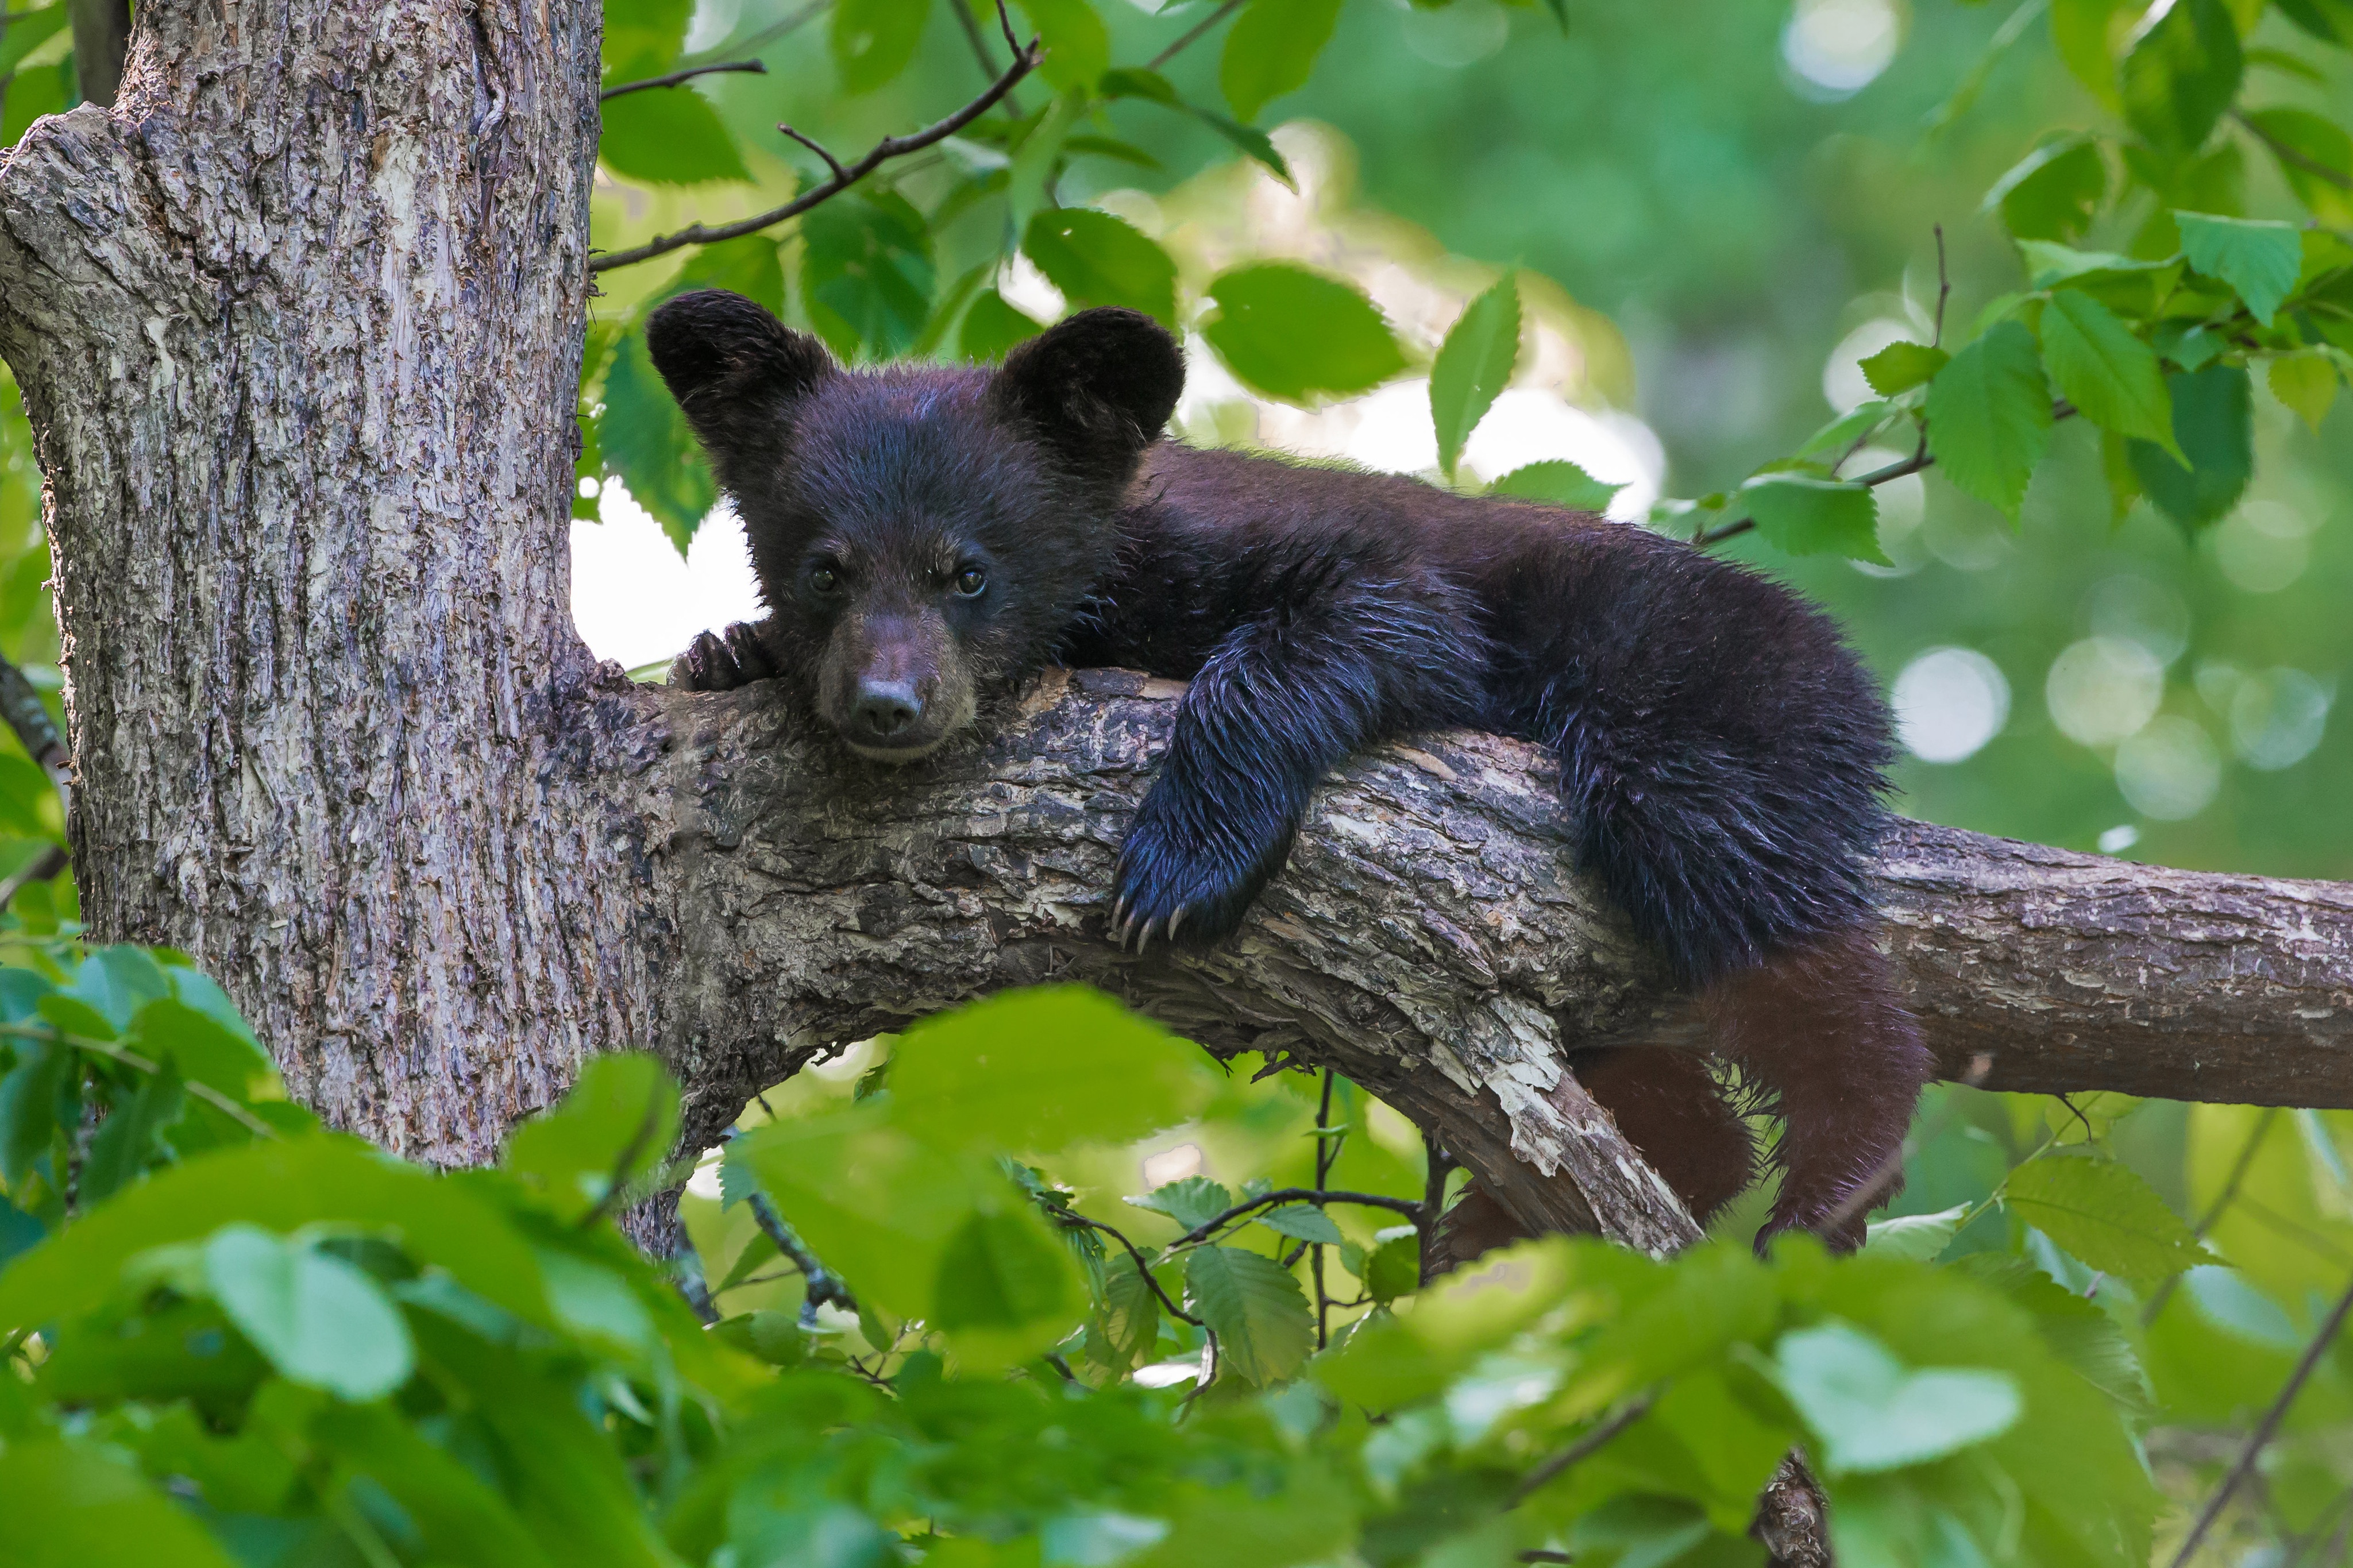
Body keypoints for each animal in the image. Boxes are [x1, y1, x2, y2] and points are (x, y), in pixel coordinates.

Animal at [645, 288, 1932, 1250]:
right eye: (825, 570)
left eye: (968, 571)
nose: (887, 705)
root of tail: (1848, 662)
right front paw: (728, 652)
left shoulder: (1306, 564)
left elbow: (1375, 620)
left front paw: (1179, 867)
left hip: (1696, 693)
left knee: (1745, 886)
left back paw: (1841, 1168)